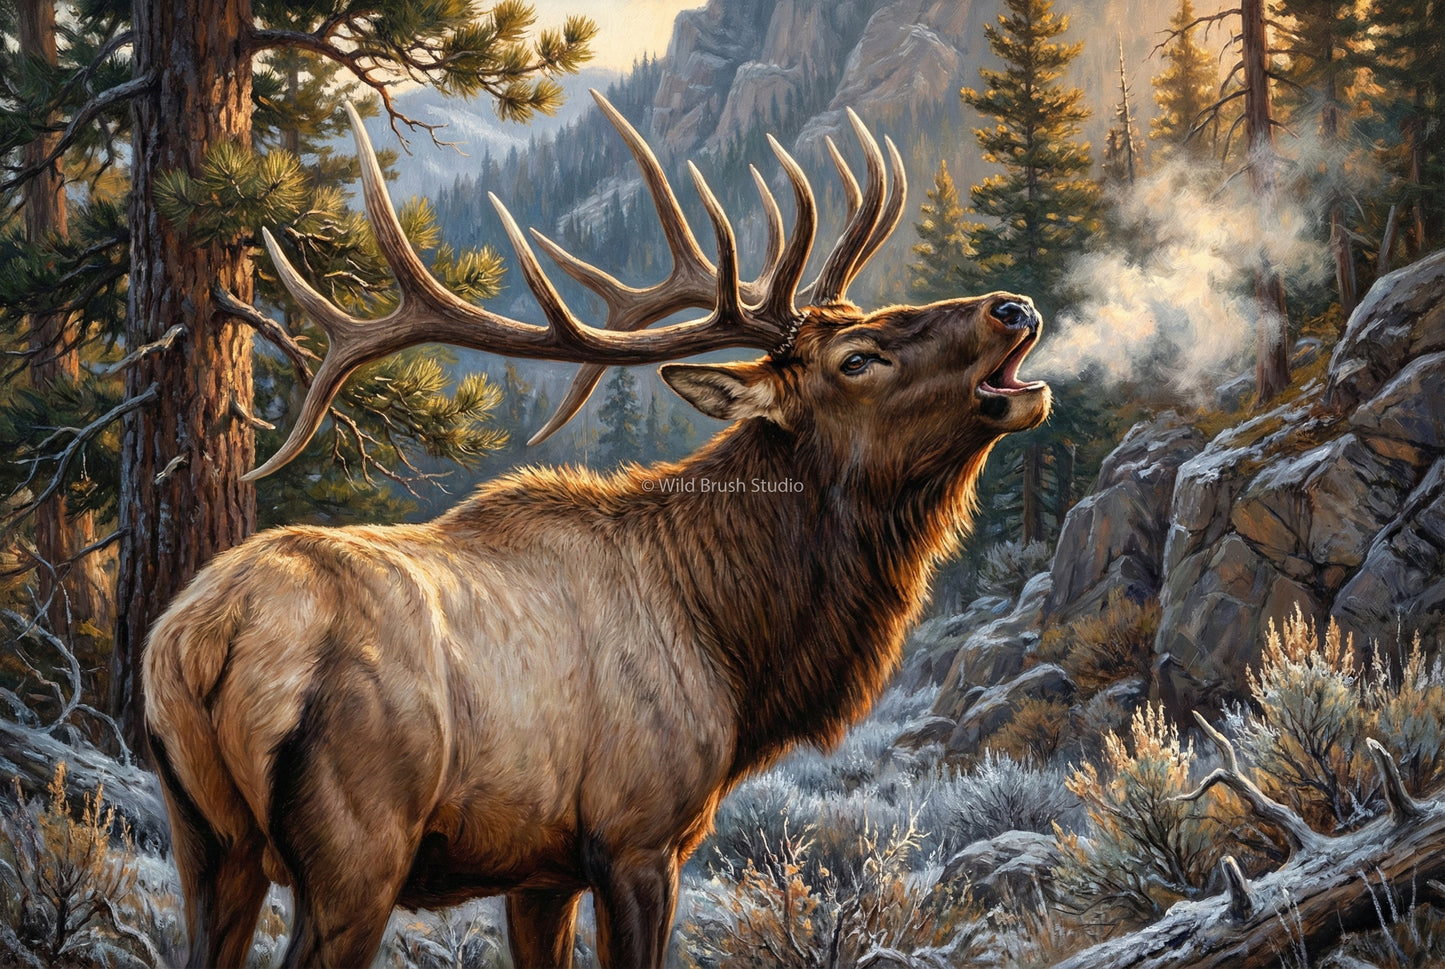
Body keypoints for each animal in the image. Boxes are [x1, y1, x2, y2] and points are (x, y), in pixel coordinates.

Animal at [142, 93, 1051, 969]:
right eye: (856, 358)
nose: (1013, 306)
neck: (732, 642)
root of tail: (198, 638)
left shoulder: (538, 871)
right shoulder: (637, 834)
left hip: (206, 842)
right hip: (358, 845)